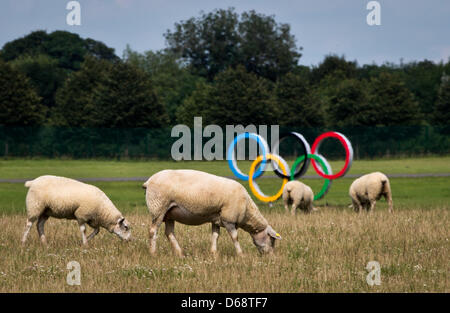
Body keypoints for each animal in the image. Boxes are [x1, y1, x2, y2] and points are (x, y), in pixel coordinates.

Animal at [142, 168, 282, 256]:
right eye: (272, 240)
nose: (271, 257)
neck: (247, 210)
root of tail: (148, 182)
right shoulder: (228, 218)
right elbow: (235, 237)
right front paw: (241, 254)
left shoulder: (217, 219)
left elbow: (215, 236)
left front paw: (214, 253)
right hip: (158, 208)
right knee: (153, 231)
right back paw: (153, 253)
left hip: (169, 213)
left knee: (169, 233)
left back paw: (180, 253)